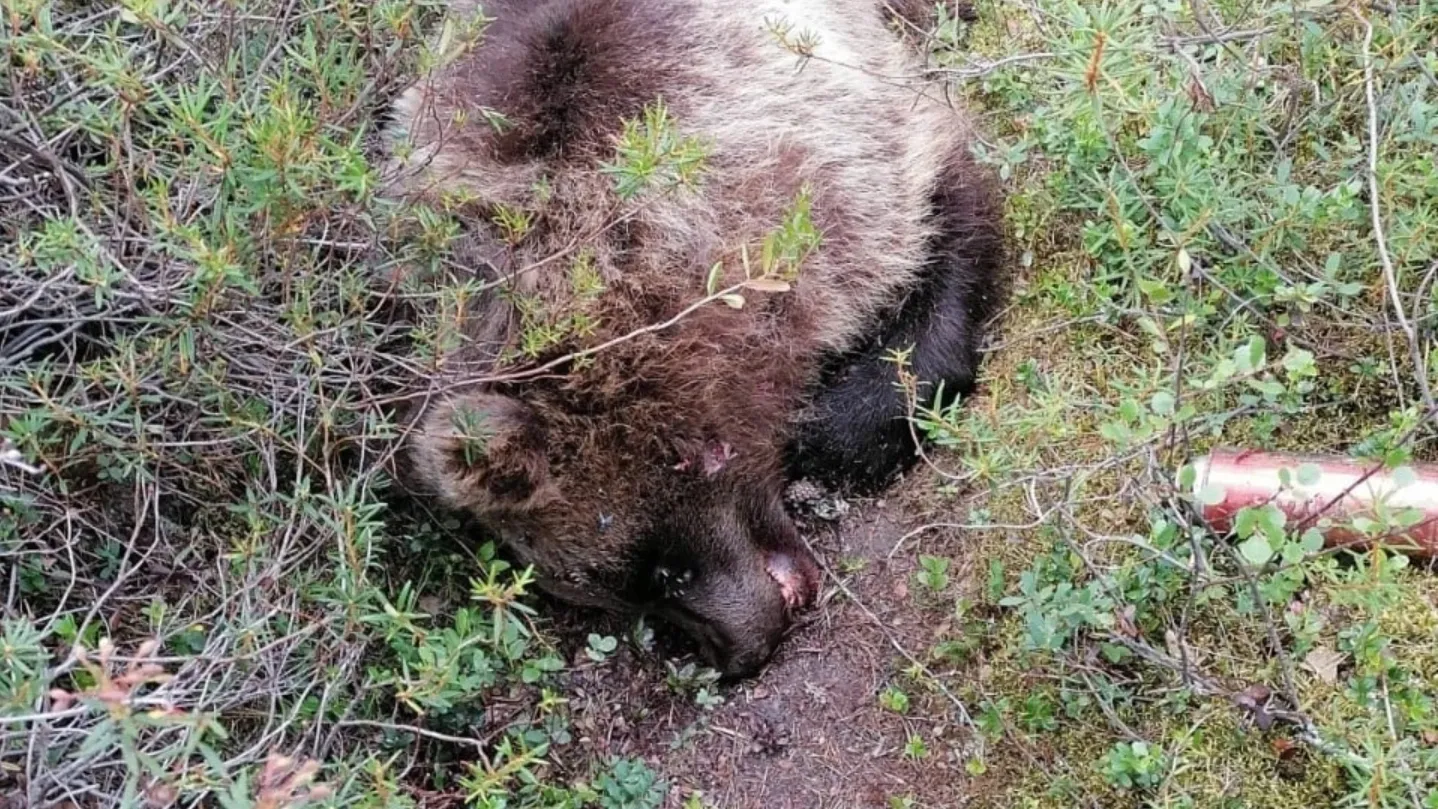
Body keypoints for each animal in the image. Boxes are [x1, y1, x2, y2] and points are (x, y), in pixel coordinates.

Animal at [388, 0, 1006, 678]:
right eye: (615, 591)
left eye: (660, 570)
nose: (740, 651)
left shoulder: (845, 153)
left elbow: (946, 231)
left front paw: (826, 429)